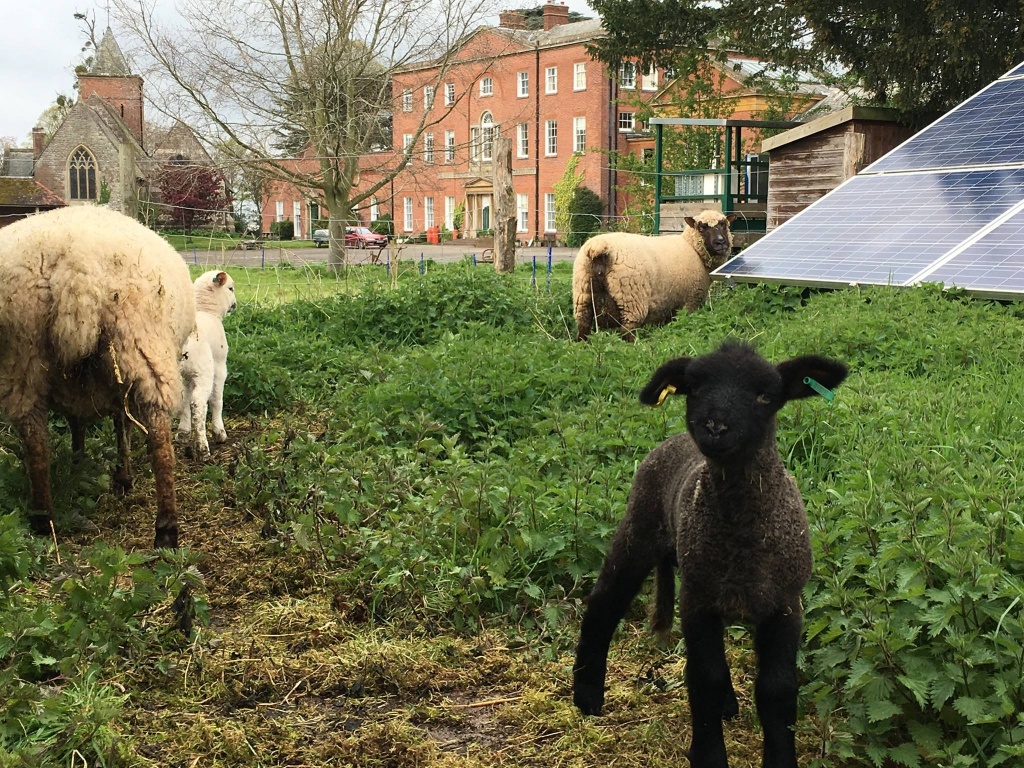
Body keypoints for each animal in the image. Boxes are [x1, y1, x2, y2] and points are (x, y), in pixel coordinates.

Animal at [0, 206, 195, 548]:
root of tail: (76, 269)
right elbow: (121, 425)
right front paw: (122, 477)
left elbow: (80, 422)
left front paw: (80, 464)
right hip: (142, 345)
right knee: (160, 441)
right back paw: (167, 529)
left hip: (21, 356)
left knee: (36, 443)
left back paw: (43, 518)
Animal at [176, 270, 237, 459]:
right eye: (230, 288)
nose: (234, 305)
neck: (208, 311)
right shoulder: (220, 366)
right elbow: (217, 399)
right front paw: (219, 432)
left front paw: (184, 432)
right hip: (203, 371)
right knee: (198, 404)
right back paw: (202, 448)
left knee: (183, 399)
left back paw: (183, 434)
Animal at [572, 210, 736, 342]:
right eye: (702, 227)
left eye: (723, 224)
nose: (720, 242)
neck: (693, 249)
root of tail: (599, 247)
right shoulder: (691, 300)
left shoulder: (668, 307)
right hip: (631, 299)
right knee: (627, 331)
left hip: (582, 295)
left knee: (583, 327)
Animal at [573, 340, 848, 768]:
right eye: (696, 388)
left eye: (765, 395)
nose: (716, 427)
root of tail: (673, 441)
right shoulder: (698, 601)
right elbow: (705, 677)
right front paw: (708, 755)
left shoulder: (785, 604)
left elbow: (777, 688)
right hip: (640, 526)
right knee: (604, 603)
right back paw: (586, 696)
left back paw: (726, 706)